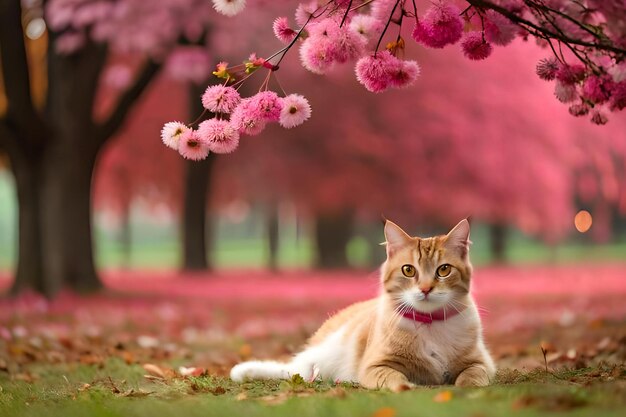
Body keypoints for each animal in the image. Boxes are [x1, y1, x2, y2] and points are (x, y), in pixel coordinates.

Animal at [229, 218, 492, 390]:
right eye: (408, 270)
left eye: (444, 270)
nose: (426, 289)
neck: (429, 323)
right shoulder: (374, 366)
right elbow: (394, 379)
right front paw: (408, 386)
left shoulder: (482, 363)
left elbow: (473, 374)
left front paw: (466, 385)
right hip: (320, 358)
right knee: (296, 369)